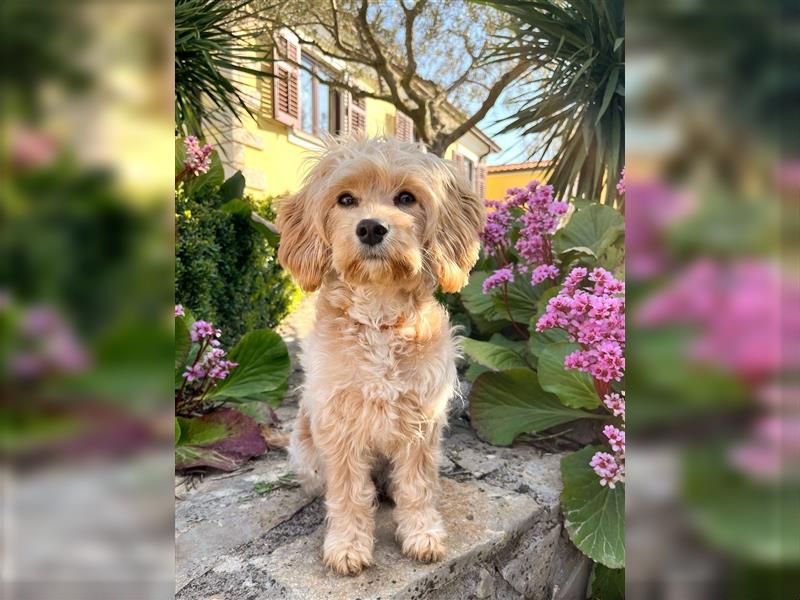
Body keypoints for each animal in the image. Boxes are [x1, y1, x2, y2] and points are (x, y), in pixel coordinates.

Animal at [276, 136, 488, 576]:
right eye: (345, 199)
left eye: (406, 197)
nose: (371, 227)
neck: (379, 317)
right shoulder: (339, 426)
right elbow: (348, 493)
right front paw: (347, 545)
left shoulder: (421, 422)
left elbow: (418, 486)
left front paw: (422, 534)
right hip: (305, 450)